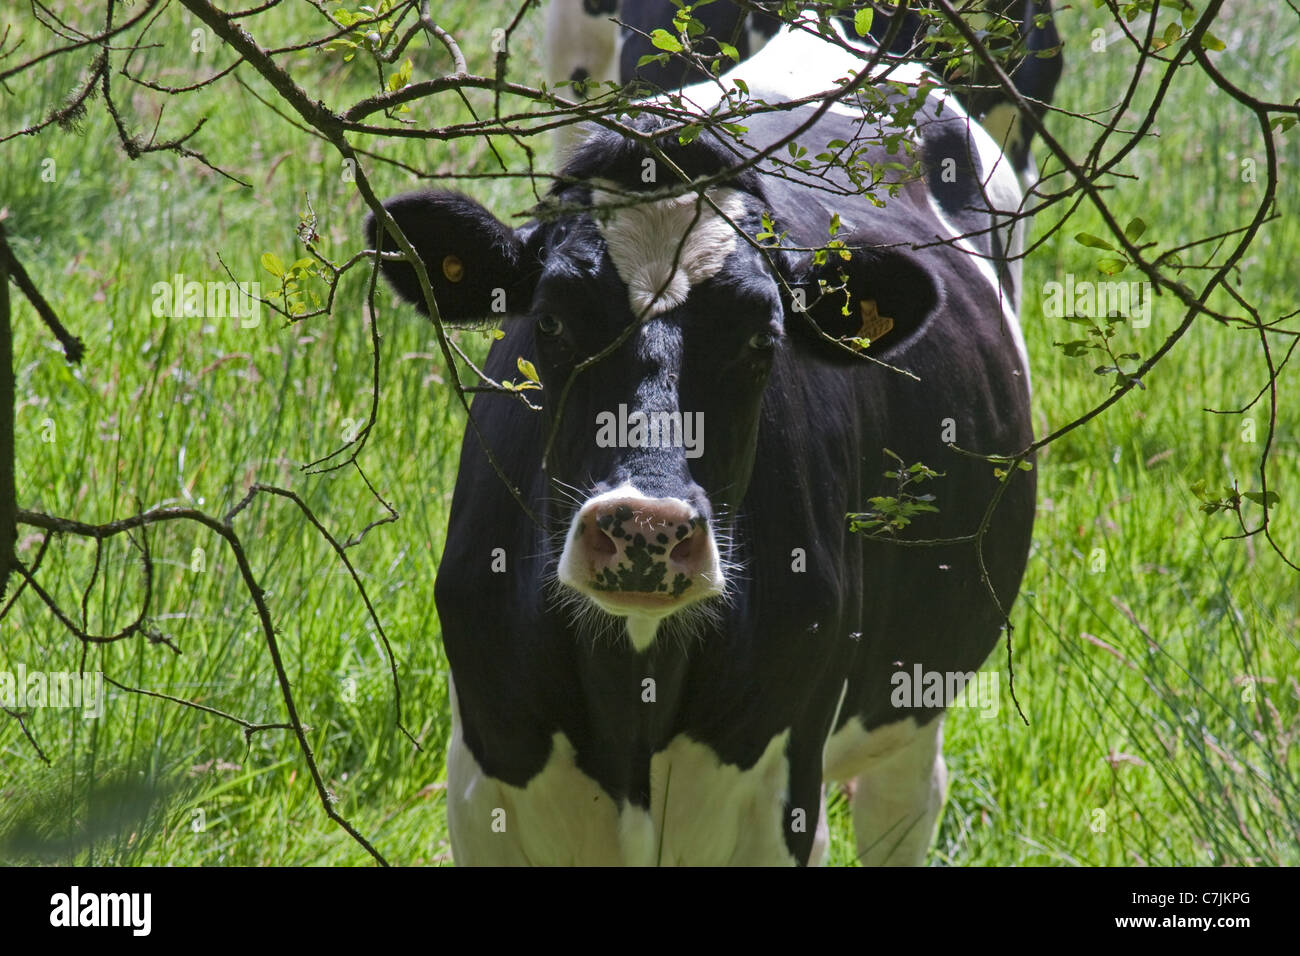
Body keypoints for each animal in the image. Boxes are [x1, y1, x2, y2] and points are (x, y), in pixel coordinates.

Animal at [366, 6, 1056, 864]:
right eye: (549, 320)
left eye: (764, 339)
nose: (645, 527)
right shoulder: (484, 784)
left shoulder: (777, 798)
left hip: (919, 683)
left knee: (902, 802)